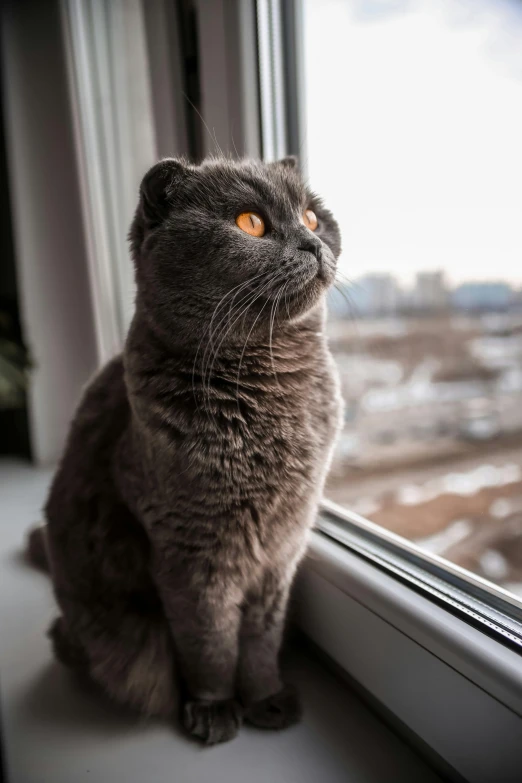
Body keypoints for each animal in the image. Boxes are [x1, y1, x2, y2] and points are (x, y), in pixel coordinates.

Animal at [27, 155, 342, 748]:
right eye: (250, 223)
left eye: (313, 218)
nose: (312, 243)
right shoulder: (191, 556)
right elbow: (209, 642)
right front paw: (215, 708)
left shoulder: (281, 551)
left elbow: (261, 641)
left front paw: (266, 699)